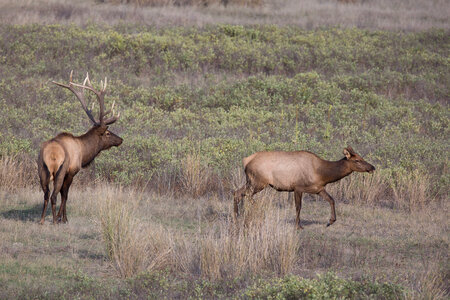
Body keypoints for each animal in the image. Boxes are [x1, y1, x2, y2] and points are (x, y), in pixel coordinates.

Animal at [37, 71, 122, 224]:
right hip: (59, 170)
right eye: (107, 133)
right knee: (53, 195)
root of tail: (51, 155)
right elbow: (65, 195)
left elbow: (63, 194)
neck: (83, 154)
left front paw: (62, 217)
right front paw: (63, 218)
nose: (121, 140)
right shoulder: (72, 171)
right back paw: (54, 220)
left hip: (41, 170)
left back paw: (41, 220)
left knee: (46, 194)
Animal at [234, 146, 374, 229]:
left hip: (251, 182)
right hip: (258, 182)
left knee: (237, 193)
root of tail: (245, 161)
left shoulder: (318, 189)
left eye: (362, 157)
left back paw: (237, 216)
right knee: (245, 195)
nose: (372, 167)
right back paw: (258, 210)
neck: (322, 174)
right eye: (357, 160)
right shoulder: (298, 187)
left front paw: (330, 221)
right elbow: (298, 207)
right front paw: (298, 225)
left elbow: (331, 200)